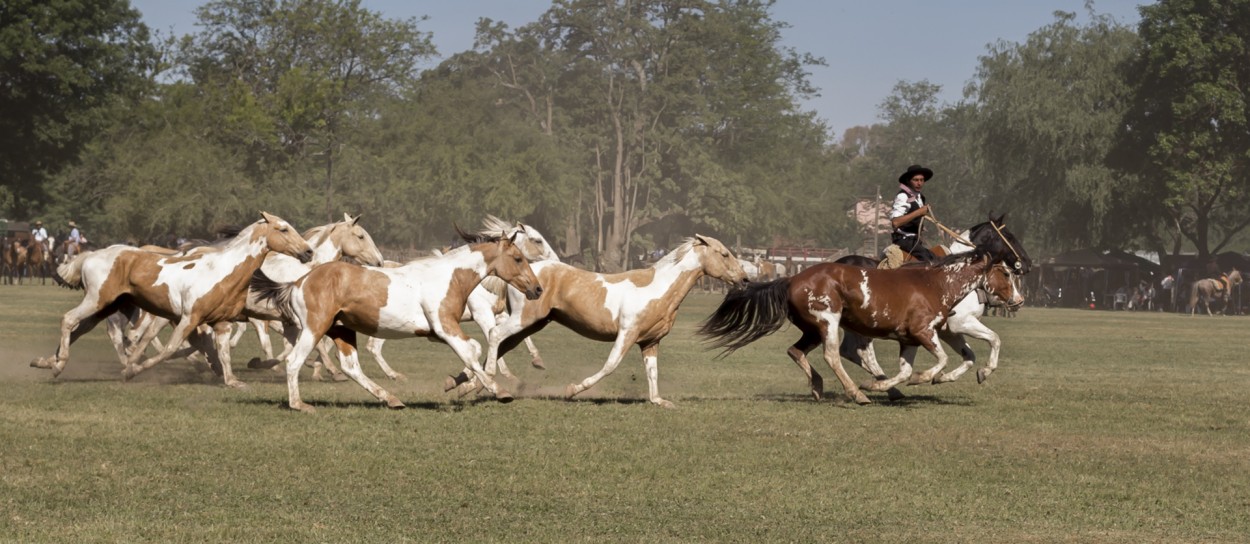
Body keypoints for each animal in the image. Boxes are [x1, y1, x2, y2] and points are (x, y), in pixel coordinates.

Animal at [32, 212, 311, 387]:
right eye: (283, 228)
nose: (308, 251)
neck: (221, 270)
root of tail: (91, 255)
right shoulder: (189, 318)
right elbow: (169, 349)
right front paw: (131, 370)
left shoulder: (221, 323)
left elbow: (223, 352)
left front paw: (232, 380)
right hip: (96, 301)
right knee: (69, 320)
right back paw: (58, 366)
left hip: (107, 307)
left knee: (81, 329)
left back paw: (45, 361)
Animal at [251, 228, 545, 412]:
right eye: (518, 258)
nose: (538, 289)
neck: (450, 276)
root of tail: (298, 282)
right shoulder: (445, 328)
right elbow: (472, 354)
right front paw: (498, 391)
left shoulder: (439, 333)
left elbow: (474, 350)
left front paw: (458, 383)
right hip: (315, 328)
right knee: (294, 361)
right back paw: (299, 404)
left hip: (341, 330)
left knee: (351, 367)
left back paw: (391, 399)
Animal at [452, 233, 750, 410]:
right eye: (724, 254)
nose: (745, 279)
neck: (658, 288)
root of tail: (527, 275)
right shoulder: (627, 334)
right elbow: (610, 366)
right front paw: (572, 390)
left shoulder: (650, 342)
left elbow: (652, 373)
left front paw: (660, 401)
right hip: (523, 319)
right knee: (494, 335)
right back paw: (487, 382)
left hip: (533, 323)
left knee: (501, 344)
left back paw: (466, 385)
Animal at [700, 247, 1010, 405]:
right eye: (1007, 272)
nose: (1015, 299)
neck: (936, 284)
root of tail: (792, 278)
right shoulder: (923, 332)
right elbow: (941, 360)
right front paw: (921, 378)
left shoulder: (908, 339)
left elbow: (904, 369)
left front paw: (880, 384)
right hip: (828, 322)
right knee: (832, 355)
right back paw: (856, 394)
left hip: (812, 329)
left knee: (796, 351)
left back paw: (818, 386)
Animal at [835, 213, 1030, 392]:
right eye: (1009, 236)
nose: (1027, 264)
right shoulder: (962, 323)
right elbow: (994, 339)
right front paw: (986, 370)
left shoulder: (949, 332)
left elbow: (969, 356)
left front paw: (943, 377)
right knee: (865, 354)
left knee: (849, 351)